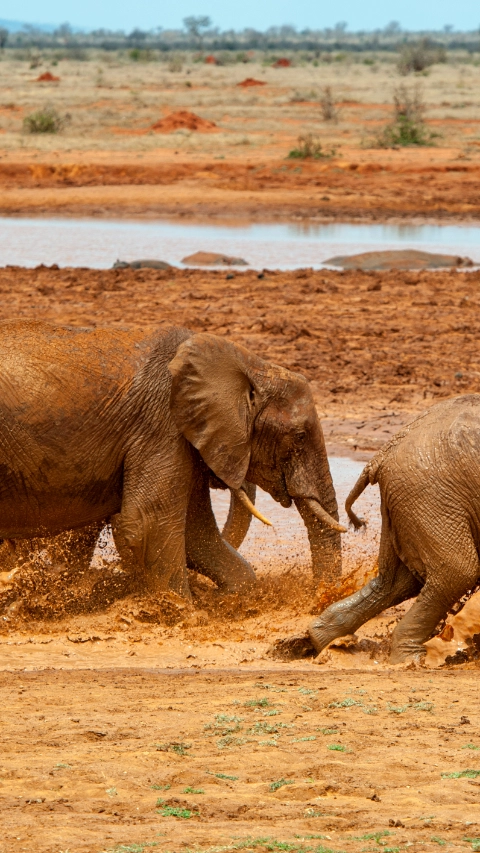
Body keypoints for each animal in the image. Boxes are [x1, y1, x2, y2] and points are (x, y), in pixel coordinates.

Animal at [0, 322, 344, 600]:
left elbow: (195, 535)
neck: (247, 364)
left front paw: (226, 601)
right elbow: (146, 523)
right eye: (299, 436)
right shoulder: (161, 425)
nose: (320, 598)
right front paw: (183, 611)